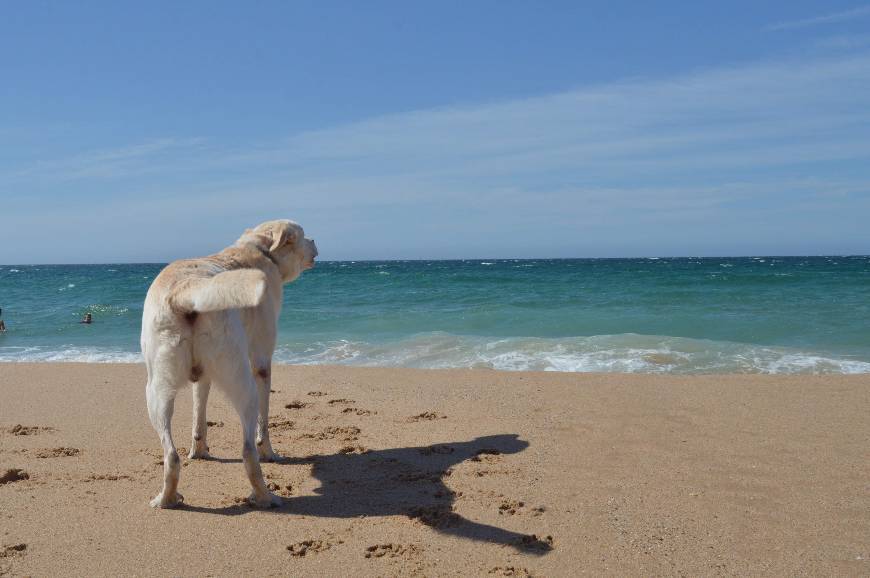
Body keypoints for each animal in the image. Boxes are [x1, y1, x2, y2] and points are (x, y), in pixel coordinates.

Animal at [141, 218, 318, 506]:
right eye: (302, 235)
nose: (314, 241)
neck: (261, 250)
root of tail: (185, 289)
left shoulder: (202, 375)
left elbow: (199, 416)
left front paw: (199, 450)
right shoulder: (262, 362)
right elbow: (263, 426)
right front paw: (270, 453)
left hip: (155, 391)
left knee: (171, 456)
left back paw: (167, 498)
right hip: (244, 383)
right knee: (248, 451)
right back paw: (265, 497)